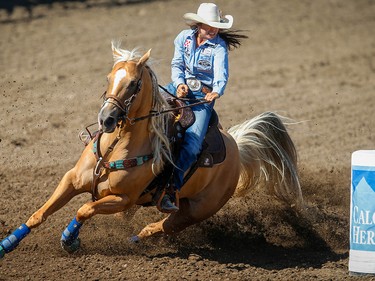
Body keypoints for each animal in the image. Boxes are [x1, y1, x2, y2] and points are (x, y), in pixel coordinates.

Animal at [0, 42, 302, 258]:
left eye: (133, 83)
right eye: (108, 77)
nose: (106, 119)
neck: (115, 148)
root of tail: (237, 146)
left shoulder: (122, 199)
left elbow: (84, 210)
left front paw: (69, 240)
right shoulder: (72, 179)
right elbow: (39, 214)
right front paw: (7, 244)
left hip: (196, 211)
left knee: (160, 227)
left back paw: (135, 240)